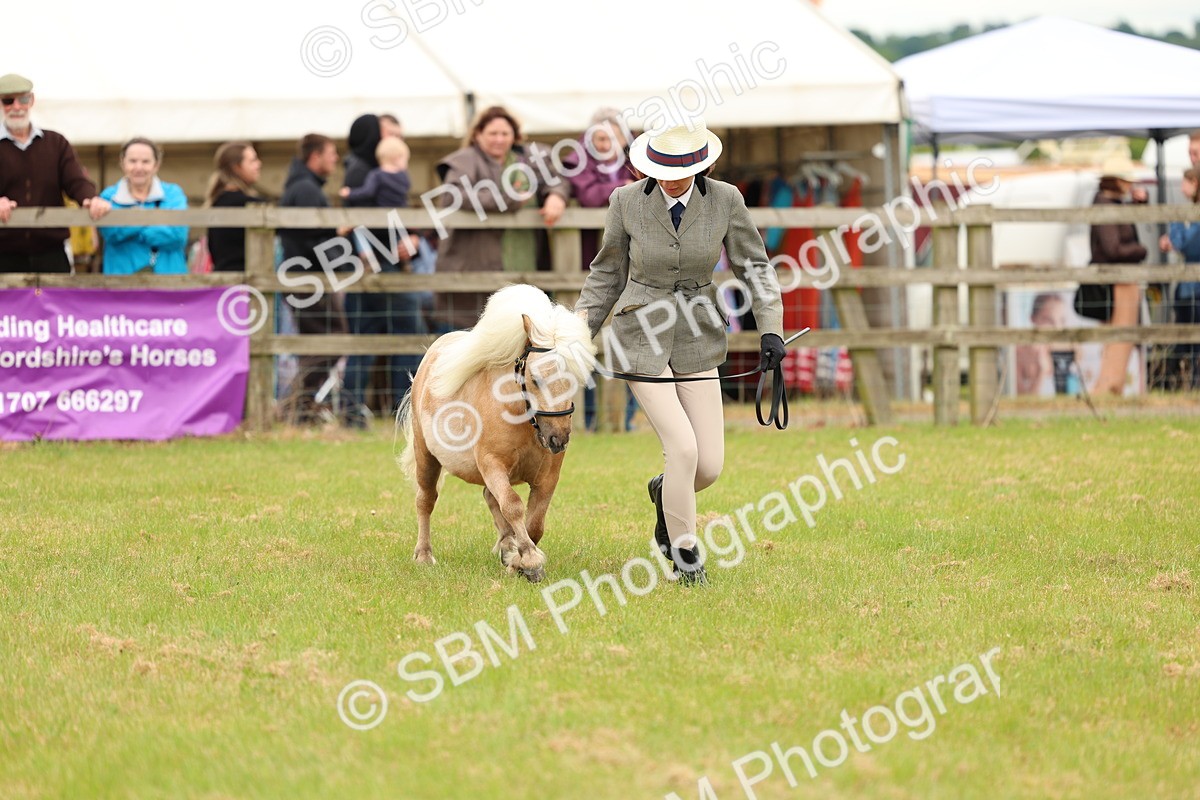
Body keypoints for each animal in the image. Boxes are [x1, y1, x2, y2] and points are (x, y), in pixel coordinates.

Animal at [396, 284, 597, 582]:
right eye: (535, 378)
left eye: (576, 379)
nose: (558, 439)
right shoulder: (492, 464)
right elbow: (513, 505)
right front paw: (529, 559)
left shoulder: (548, 477)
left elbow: (535, 522)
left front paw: (516, 559)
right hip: (426, 455)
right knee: (426, 500)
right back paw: (424, 555)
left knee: (490, 498)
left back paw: (505, 544)